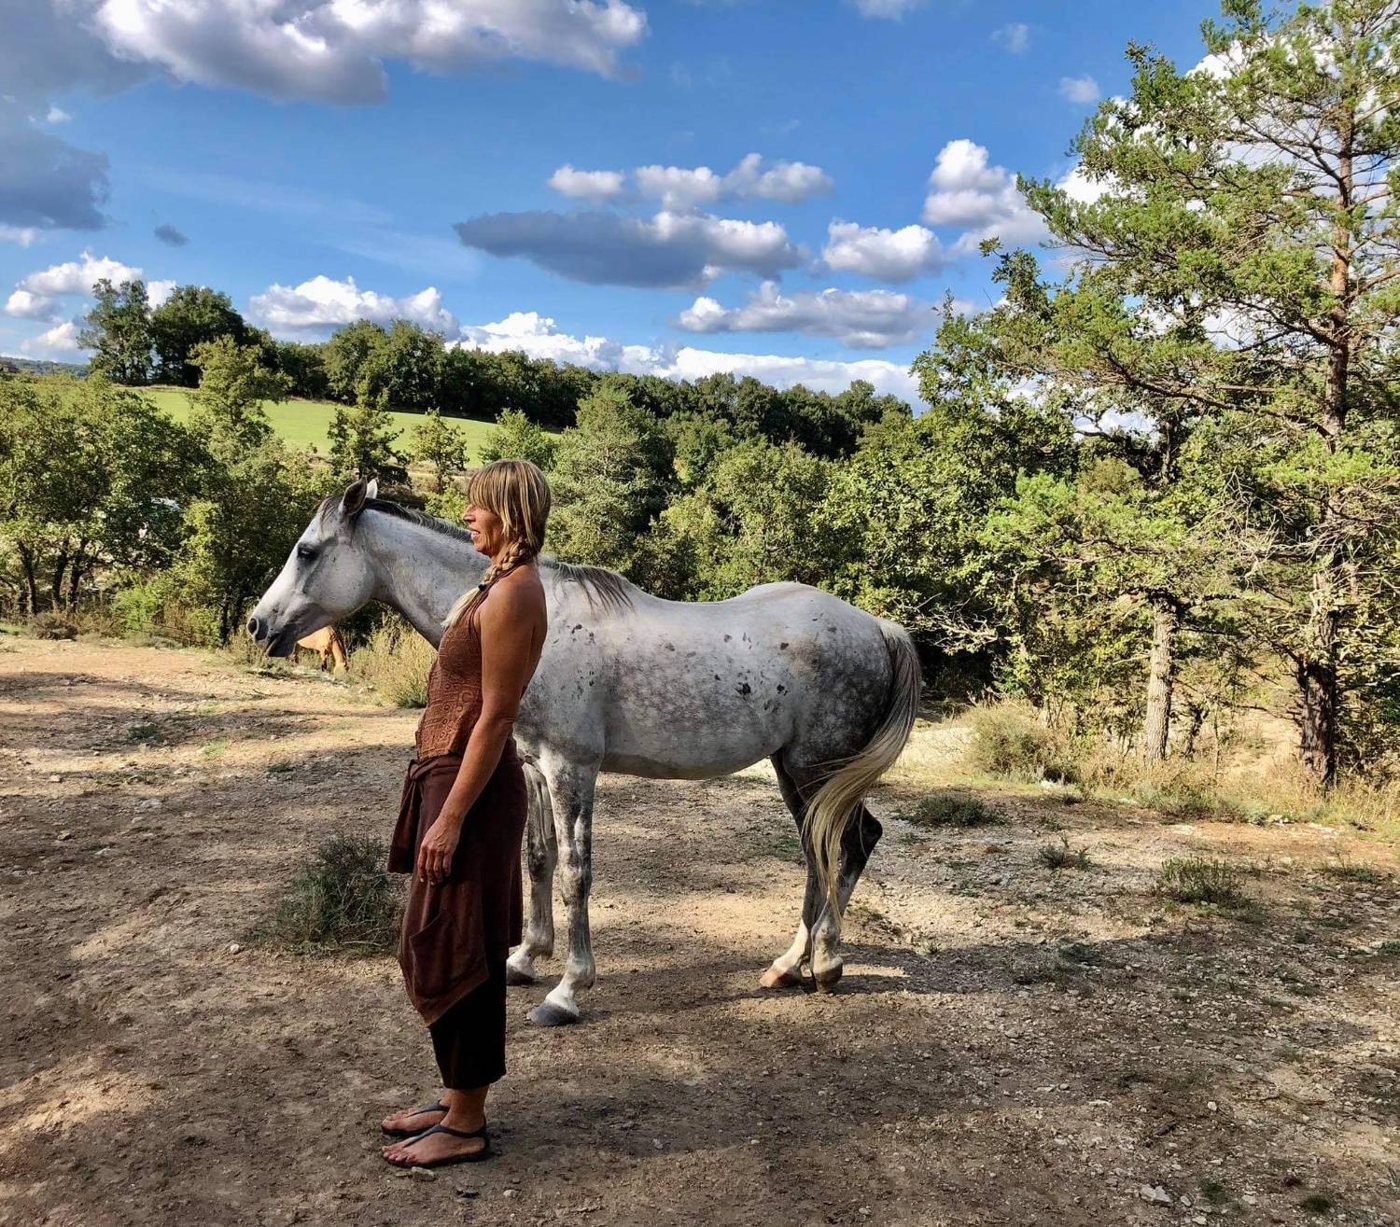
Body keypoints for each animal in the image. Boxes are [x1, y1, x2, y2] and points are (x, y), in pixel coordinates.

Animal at [247, 478, 920, 1026]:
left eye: (307, 551)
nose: (257, 625)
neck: (533, 617)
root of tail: (879, 628)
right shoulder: (535, 768)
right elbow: (538, 857)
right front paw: (526, 958)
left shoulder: (572, 769)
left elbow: (576, 872)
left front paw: (568, 990)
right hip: (794, 771)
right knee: (823, 852)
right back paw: (788, 966)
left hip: (817, 768)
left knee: (847, 845)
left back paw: (826, 964)